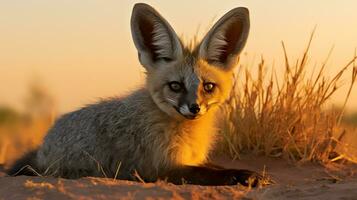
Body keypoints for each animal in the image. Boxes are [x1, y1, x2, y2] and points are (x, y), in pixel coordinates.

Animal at [8, 2, 262, 186]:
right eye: (175, 86)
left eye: (208, 87)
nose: (195, 108)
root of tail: (44, 143)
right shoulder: (159, 168)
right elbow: (208, 174)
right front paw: (240, 175)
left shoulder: (190, 159)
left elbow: (215, 166)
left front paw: (248, 173)